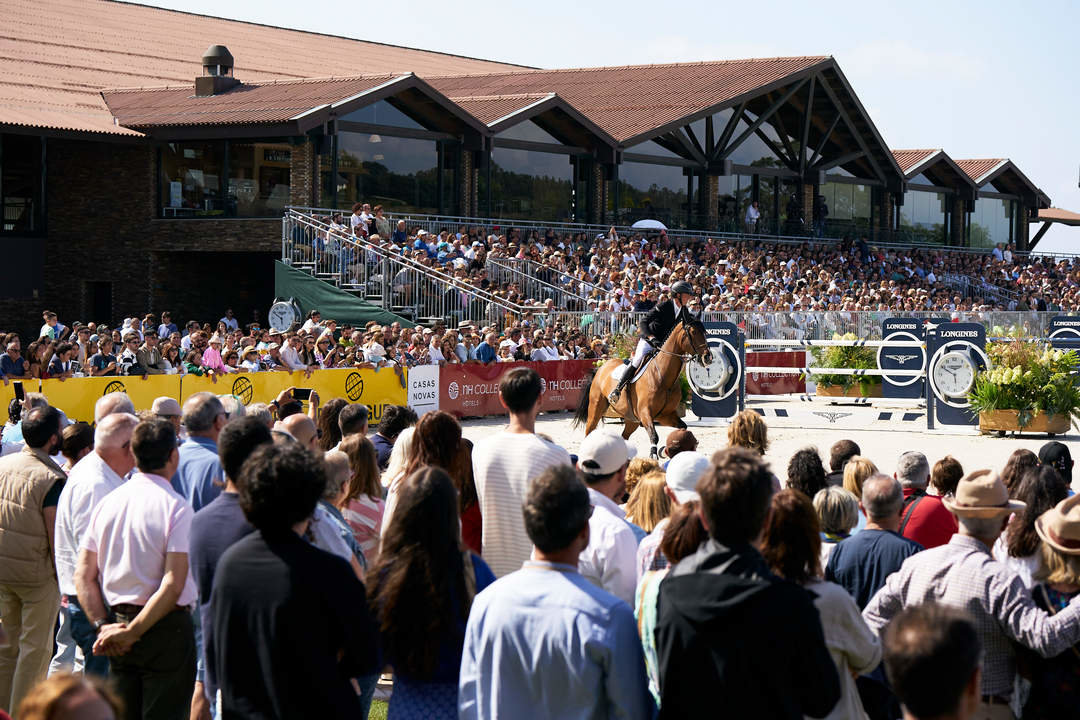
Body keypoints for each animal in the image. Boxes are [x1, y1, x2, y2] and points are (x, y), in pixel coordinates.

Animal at [570, 317, 712, 459]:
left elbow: (683, 427)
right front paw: (653, 455)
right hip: (596, 408)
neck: (663, 377)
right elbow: (654, 436)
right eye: (693, 332)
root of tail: (601, 368)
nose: (708, 357)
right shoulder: (645, 413)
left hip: (631, 419)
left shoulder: (665, 415)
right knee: (589, 430)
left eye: (704, 332)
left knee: (624, 436)